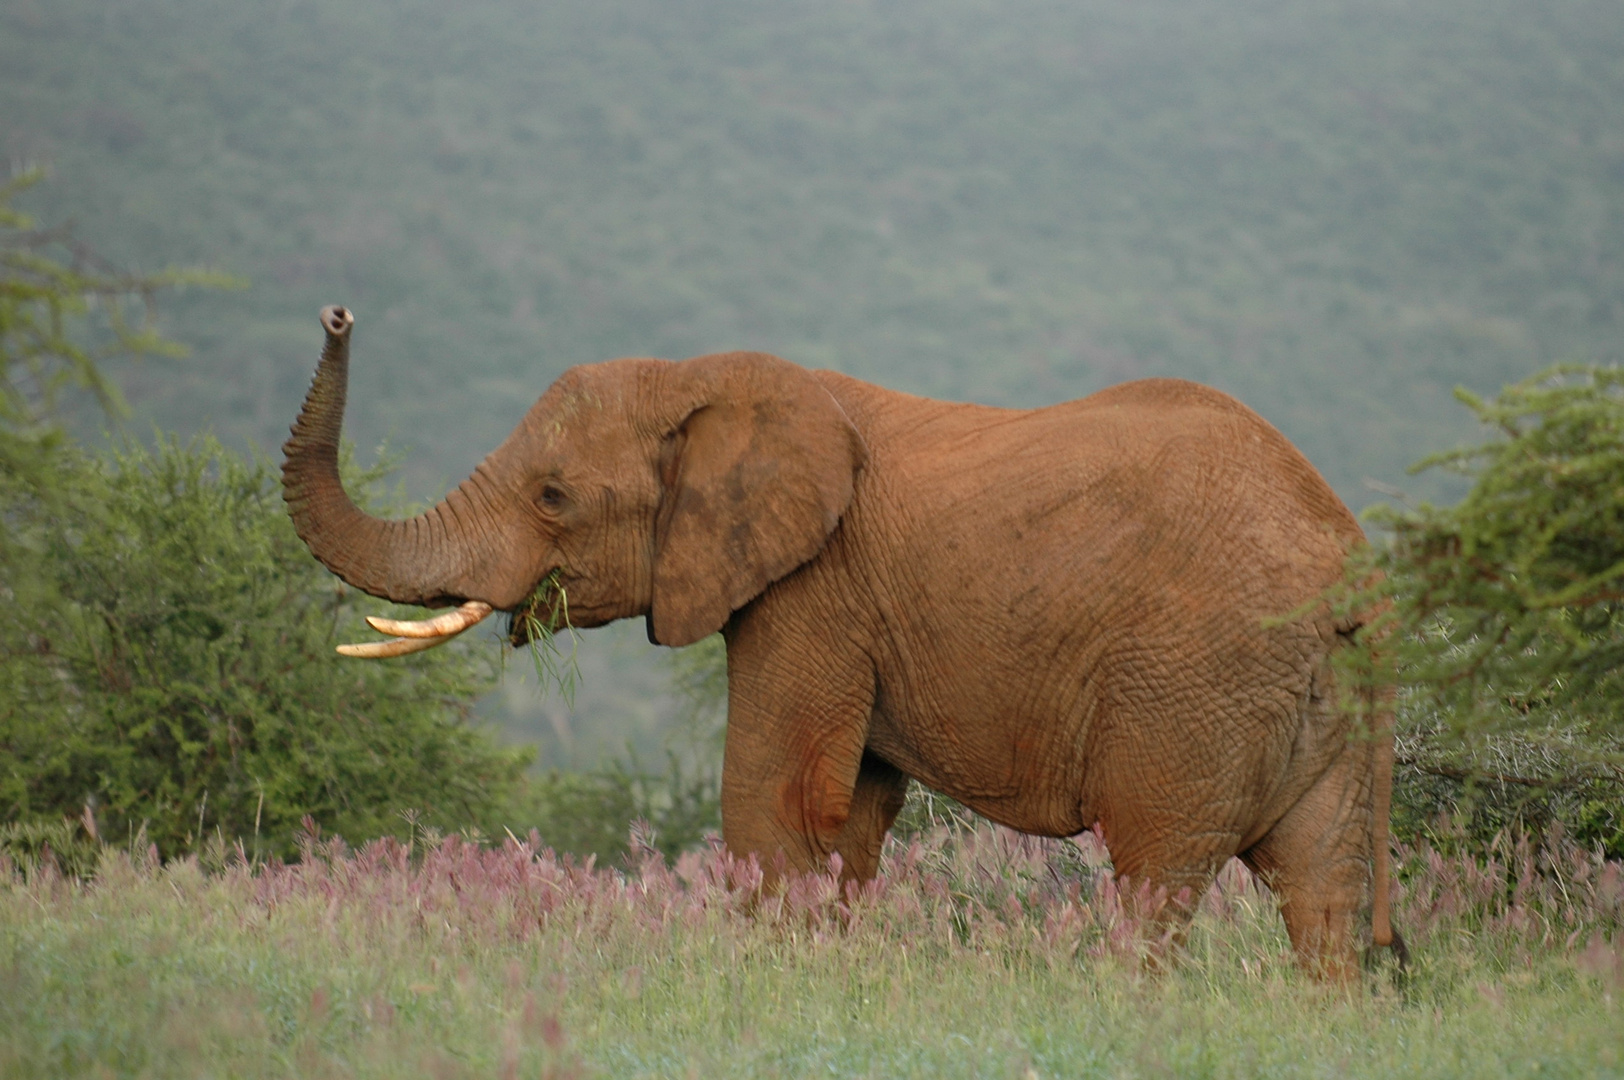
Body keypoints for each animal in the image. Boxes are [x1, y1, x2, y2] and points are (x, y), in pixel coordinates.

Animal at [279, 305, 1396, 974]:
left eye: (553, 496)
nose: (338, 314)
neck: (705, 378)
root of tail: (1354, 565)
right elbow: (849, 813)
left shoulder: (812, 593)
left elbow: (774, 800)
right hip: (1316, 705)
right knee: (1323, 890)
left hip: (1194, 685)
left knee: (1155, 876)